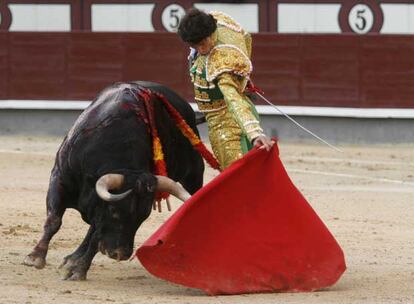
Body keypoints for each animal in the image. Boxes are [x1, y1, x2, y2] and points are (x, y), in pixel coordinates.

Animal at [23, 81, 204, 280]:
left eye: (143, 216)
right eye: (115, 211)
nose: (121, 254)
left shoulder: (100, 210)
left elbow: (95, 237)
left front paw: (78, 270)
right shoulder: (60, 178)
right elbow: (54, 220)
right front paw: (35, 257)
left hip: (194, 173)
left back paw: (74, 260)